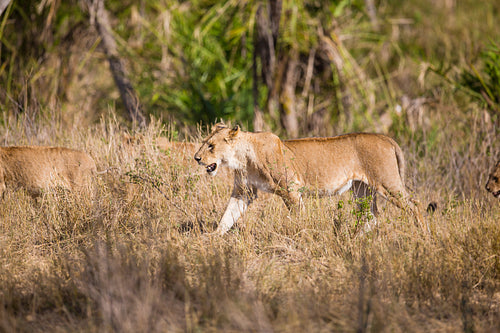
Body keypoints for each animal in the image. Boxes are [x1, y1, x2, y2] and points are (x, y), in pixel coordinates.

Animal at [195, 123, 426, 235]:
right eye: (204, 142)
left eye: (211, 146)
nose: (196, 158)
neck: (242, 158)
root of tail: (386, 137)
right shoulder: (244, 192)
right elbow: (228, 215)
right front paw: (214, 237)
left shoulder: (291, 189)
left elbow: (299, 217)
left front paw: (302, 235)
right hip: (362, 189)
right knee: (372, 215)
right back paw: (352, 238)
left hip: (387, 183)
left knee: (415, 205)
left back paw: (425, 236)